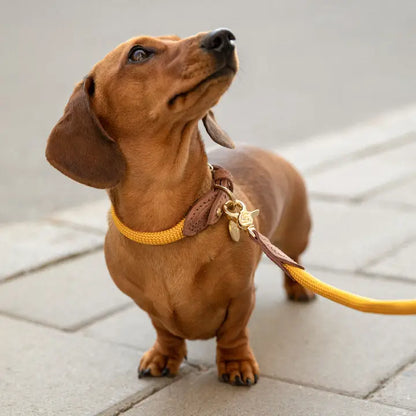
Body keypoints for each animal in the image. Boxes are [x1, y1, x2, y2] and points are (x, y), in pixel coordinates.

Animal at [46, 28, 312, 386]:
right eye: (139, 53)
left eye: (176, 37)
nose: (224, 37)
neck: (168, 224)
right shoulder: (149, 306)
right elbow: (165, 331)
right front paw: (163, 356)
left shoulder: (241, 294)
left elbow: (233, 331)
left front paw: (236, 363)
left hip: (296, 234)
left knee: (293, 262)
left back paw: (299, 288)